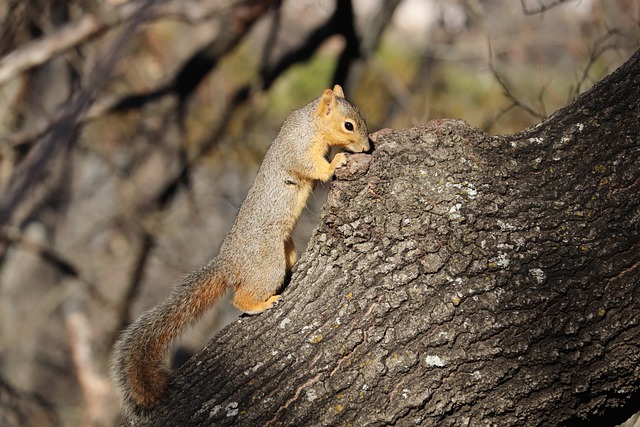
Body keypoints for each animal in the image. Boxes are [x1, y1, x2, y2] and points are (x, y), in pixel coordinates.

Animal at [110, 85, 370, 420]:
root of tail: (229, 263)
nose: (367, 148)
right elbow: (313, 167)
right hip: (267, 263)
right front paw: (336, 163)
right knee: (240, 298)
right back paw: (261, 304)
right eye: (348, 125)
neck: (310, 123)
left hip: (284, 252)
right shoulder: (298, 149)